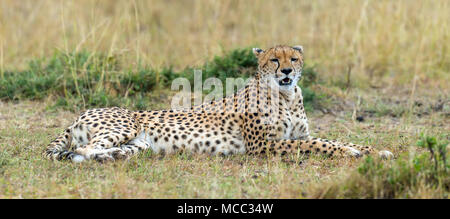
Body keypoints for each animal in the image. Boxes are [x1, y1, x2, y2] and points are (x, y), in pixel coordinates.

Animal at [44, 44, 392, 162]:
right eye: (274, 60)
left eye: (293, 59)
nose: (287, 72)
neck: (287, 96)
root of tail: (82, 112)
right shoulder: (264, 146)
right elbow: (319, 145)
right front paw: (351, 152)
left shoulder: (297, 134)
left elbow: (333, 139)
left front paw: (376, 150)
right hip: (123, 125)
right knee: (84, 149)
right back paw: (105, 156)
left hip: (139, 143)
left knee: (93, 150)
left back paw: (114, 156)